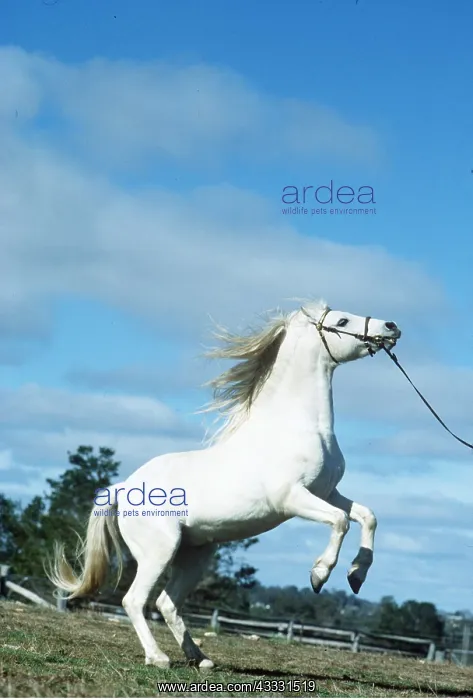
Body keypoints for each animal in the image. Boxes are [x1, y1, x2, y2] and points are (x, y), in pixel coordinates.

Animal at [48, 299, 401, 670]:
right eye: (342, 321)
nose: (391, 327)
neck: (299, 426)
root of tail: (122, 488)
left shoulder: (327, 493)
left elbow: (367, 516)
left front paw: (356, 575)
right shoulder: (292, 499)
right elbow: (341, 521)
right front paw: (319, 575)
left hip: (195, 555)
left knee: (166, 603)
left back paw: (200, 658)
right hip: (159, 551)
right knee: (134, 601)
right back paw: (158, 657)